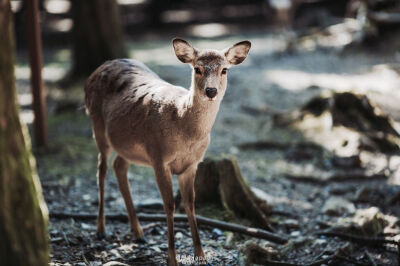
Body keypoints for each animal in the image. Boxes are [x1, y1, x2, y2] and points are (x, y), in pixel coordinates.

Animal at [85, 38, 250, 266]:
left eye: (224, 69)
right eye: (197, 69)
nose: (211, 91)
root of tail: (96, 70)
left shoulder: (192, 164)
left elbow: (190, 204)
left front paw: (201, 256)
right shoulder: (159, 158)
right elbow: (169, 205)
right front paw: (172, 258)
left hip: (127, 145)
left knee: (119, 166)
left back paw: (138, 232)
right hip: (97, 124)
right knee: (101, 169)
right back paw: (101, 229)